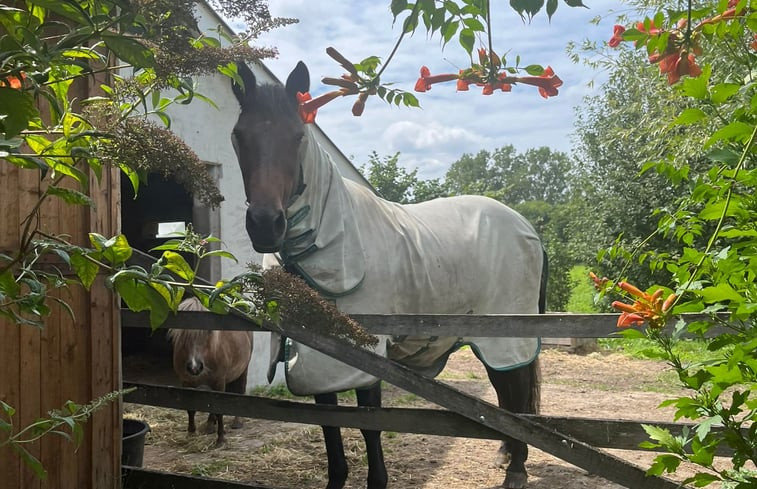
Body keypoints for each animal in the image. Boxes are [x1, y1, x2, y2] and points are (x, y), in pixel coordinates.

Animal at [167, 298, 252, 446]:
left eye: (207, 331)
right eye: (183, 332)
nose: (194, 367)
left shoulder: (219, 381)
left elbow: (220, 410)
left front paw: (221, 438)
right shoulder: (187, 383)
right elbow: (191, 408)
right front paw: (191, 432)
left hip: (243, 370)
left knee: (240, 391)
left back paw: (236, 422)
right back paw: (210, 424)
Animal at [229, 62, 544, 488]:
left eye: (298, 137)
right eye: (239, 136)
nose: (265, 225)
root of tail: (526, 227)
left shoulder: (365, 355)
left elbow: (371, 424)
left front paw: (377, 480)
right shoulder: (315, 357)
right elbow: (328, 423)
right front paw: (336, 479)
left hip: (506, 336)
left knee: (516, 394)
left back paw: (515, 469)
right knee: (508, 399)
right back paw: (506, 456)